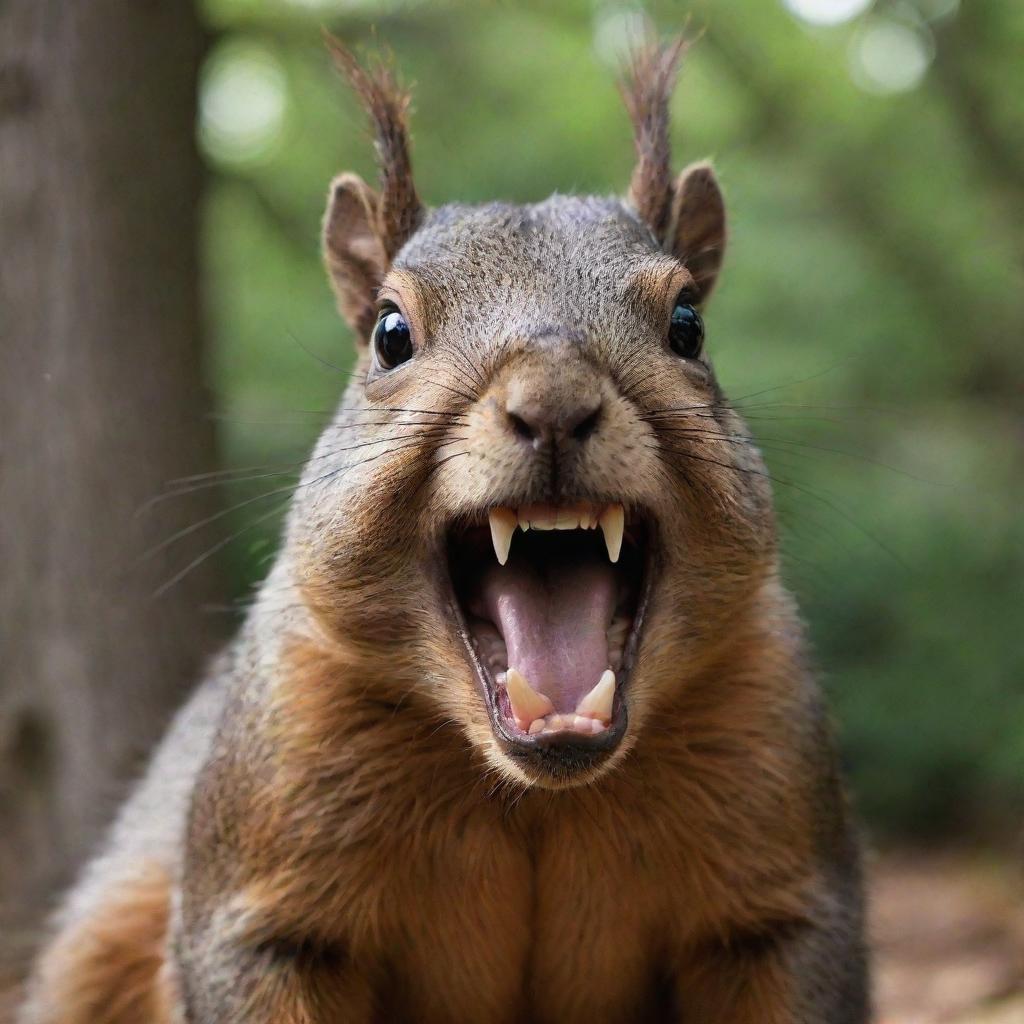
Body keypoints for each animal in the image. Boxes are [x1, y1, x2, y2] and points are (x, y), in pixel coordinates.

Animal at [18, 34, 864, 1024]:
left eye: (689, 325)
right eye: (390, 334)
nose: (554, 403)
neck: (537, 790)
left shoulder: (780, 856)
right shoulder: (265, 875)